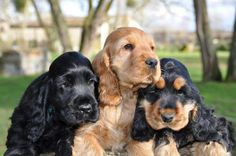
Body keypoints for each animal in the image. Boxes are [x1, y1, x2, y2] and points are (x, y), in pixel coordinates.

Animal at [71, 27, 160, 155]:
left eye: (152, 48)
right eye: (128, 46)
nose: (154, 62)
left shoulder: (139, 132)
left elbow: (141, 149)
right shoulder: (84, 133)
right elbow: (93, 149)